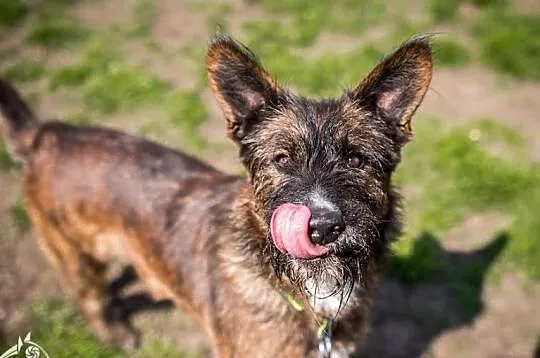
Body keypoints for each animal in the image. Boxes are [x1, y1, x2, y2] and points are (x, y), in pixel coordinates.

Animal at [0, 32, 430, 356]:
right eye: (282, 160)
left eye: (357, 159)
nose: (323, 227)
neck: (308, 293)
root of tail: (47, 134)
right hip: (74, 258)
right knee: (92, 300)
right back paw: (118, 334)